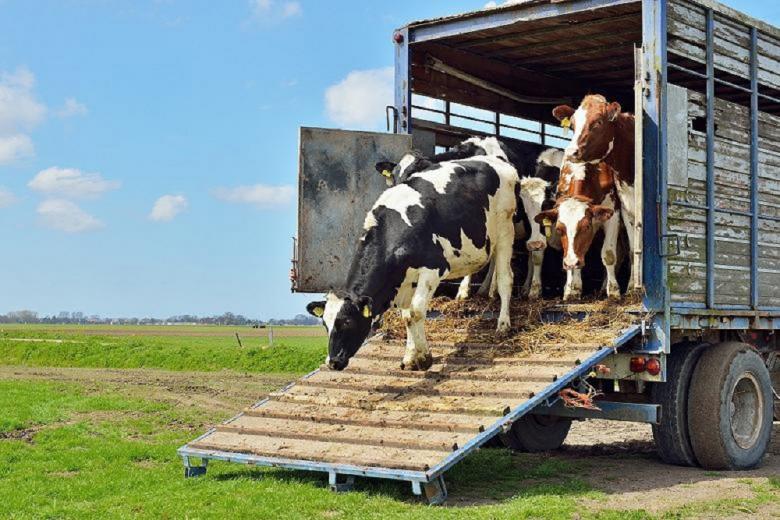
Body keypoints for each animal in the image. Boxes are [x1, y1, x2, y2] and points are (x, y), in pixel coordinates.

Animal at [308, 152, 520, 372]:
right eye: (325, 324)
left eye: (348, 322)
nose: (332, 362)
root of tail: (496, 160)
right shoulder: (405, 280)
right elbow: (406, 316)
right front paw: (411, 356)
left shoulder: (433, 268)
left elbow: (416, 312)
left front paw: (424, 357)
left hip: (505, 229)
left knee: (506, 278)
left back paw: (503, 324)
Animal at [552, 94, 636, 292]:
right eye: (572, 125)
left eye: (598, 122)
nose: (572, 152)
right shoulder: (627, 209)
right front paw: (571, 288)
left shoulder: (614, 211)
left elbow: (609, 253)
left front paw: (615, 291)